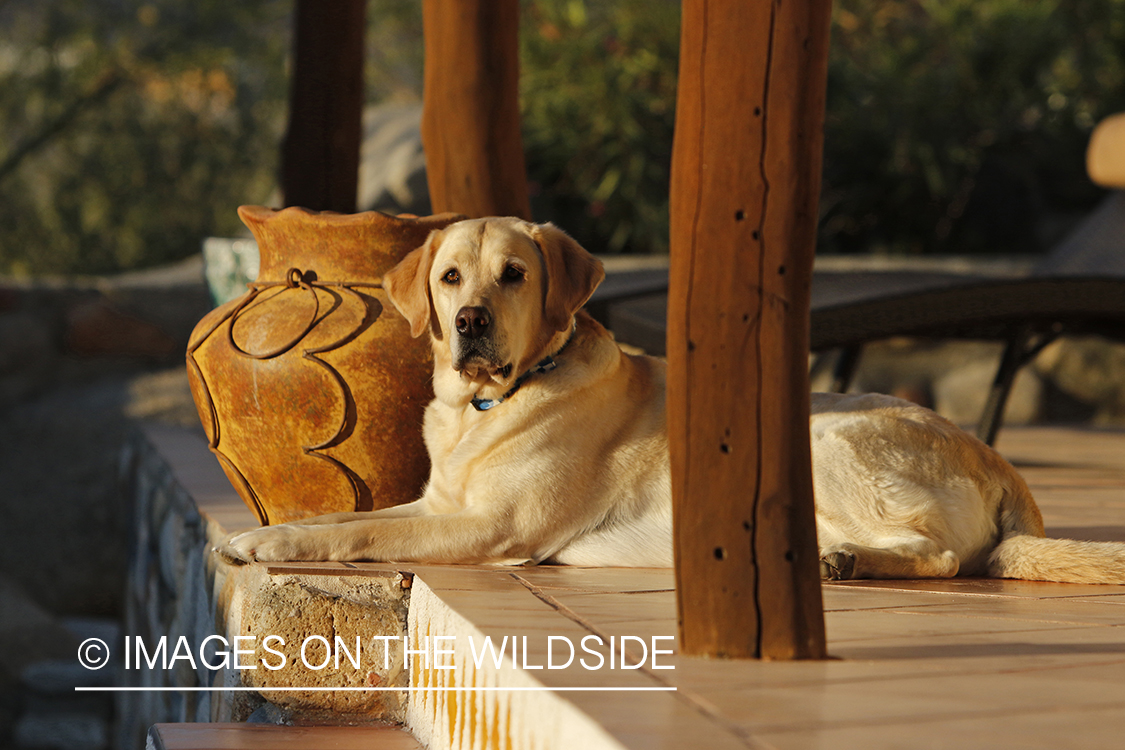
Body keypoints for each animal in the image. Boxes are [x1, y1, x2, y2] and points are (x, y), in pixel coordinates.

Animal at [223, 217, 1125, 584]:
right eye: (449, 278)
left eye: (512, 274)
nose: (471, 321)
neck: (492, 401)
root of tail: (1003, 466)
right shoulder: (438, 505)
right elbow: (340, 516)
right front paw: (256, 534)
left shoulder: (494, 528)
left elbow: (359, 533)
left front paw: (271, 546)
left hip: (826, 436)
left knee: (942, 556)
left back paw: (849, 563)